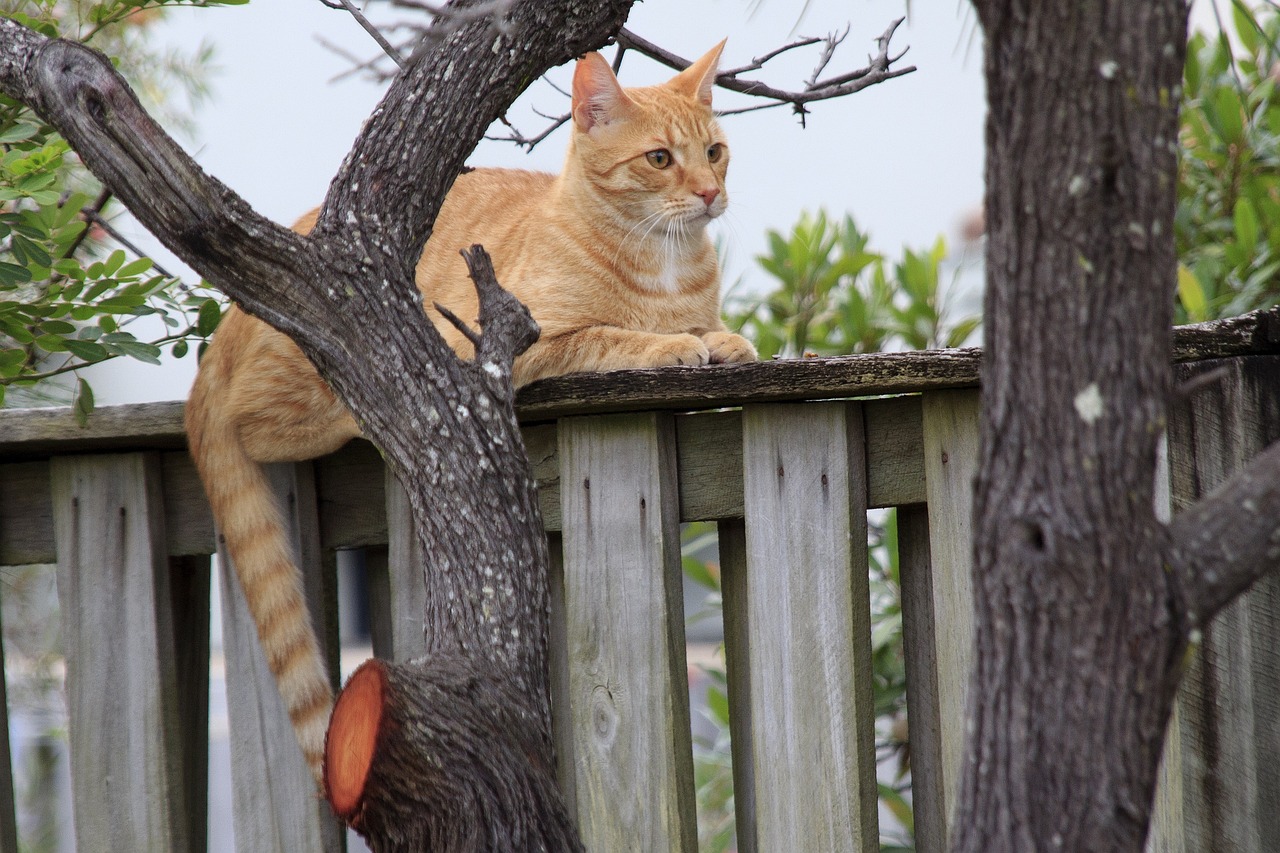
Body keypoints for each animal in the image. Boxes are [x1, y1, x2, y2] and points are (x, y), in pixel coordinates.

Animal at [185, 43, 752, 778]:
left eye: (714, 152)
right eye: (660, 158)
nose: (711, 192)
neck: (666, 260)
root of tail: (222, 332)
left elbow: (711, 329)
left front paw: (724, 338)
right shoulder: (524, 343)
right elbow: (614, 336)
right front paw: (674, 343)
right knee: (256, 421)